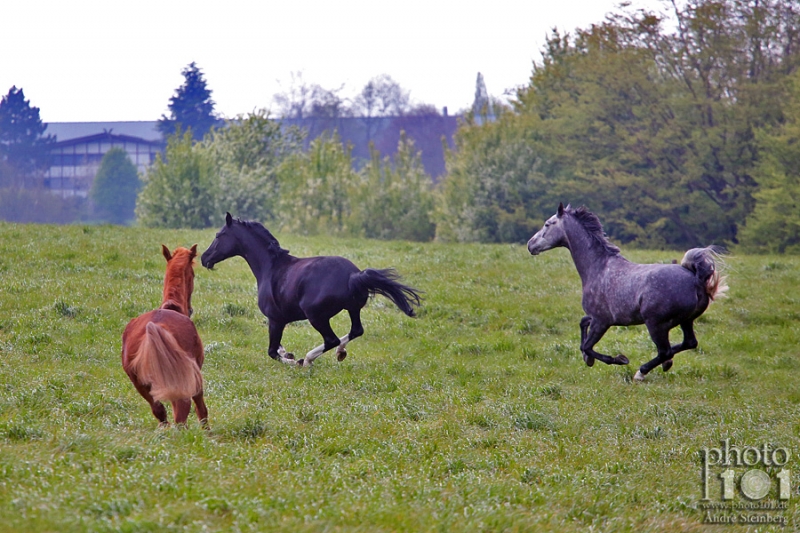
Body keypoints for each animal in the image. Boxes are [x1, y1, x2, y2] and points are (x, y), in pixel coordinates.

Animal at [122, 246, 208, 428]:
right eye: (193, 274)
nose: (190, 309)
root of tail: (154, 328)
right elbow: (201, 411)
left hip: (142, 385)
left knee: (160, 412)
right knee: (181, 414)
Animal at [200, 212, 422, 366]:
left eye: (219, 235)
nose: (204, 258)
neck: (270, 267)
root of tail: (353, 276)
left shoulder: (275, 319)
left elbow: (272, 351)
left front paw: (292, 360)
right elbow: (278, 348)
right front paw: (288, 353)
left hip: (316, 316)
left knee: (331, 339)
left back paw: (307, 360)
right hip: (353, 309)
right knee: (356, 330)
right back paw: (340, 353)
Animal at [528, 202, 728, 380]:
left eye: (548, 223)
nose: (530, 245)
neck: (598, 267)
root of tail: (696, 278)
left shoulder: (602, 321)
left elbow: (587, 346)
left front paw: (618, 359)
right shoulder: (597, 317)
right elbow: (583, 324)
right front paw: (588, 359)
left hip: (655, 324)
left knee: (665, 350)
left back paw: (641, 372)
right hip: (685, 321)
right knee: (688, 343)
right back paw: (665, 364)